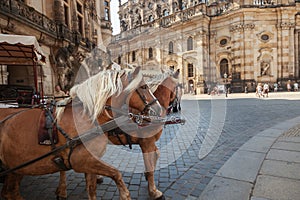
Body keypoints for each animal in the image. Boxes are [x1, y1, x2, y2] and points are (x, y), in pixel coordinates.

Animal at [0, 67, 163, 200]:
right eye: (144, 87)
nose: (159, 108)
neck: (86, 116)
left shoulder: (90, 161)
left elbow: (91, 189)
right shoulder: (80, 161)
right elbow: (116, 173)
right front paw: (128, 194)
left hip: (15, 168)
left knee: (9, 192)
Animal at [57, 69, 180, 200]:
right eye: (179, 86)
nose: (158, 109)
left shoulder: (149, 143)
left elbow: (156, 155)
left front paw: (147, 176)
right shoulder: (146, 143)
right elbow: (150, 164)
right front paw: (153, 191)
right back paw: (62, 190)